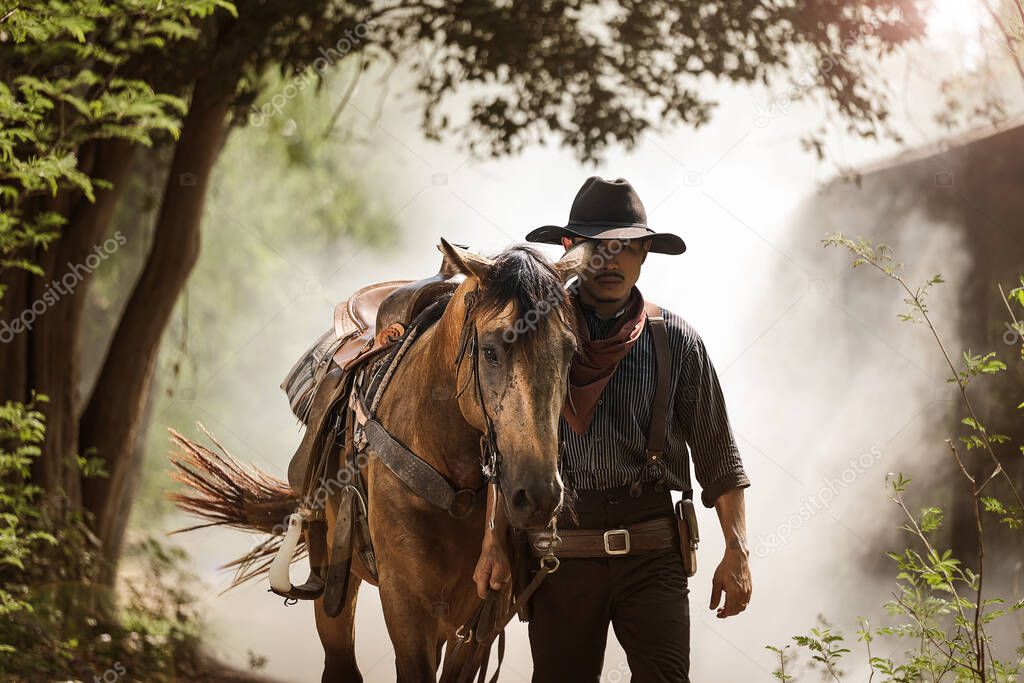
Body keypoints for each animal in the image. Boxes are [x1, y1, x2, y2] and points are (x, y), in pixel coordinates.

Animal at [169, 239, 593, 679]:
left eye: (569, 353)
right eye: (491, 351)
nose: (539, 496)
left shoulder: (477, 629)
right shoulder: (406, 611)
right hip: (335, 582)